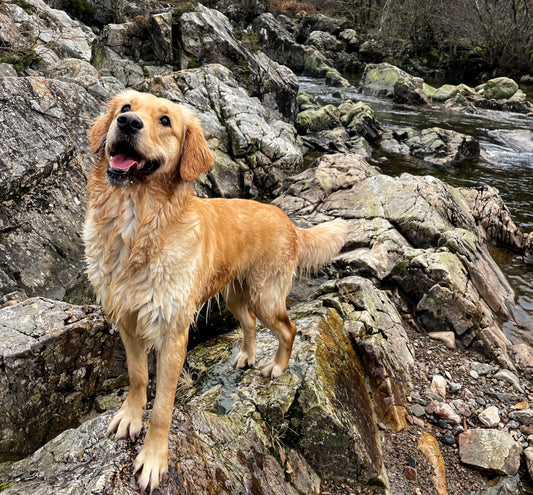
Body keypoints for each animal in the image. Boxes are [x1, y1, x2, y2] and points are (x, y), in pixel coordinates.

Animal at [84, 90, 344, 492]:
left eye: (165, 121)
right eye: (126, 108)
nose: (127, 124)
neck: (136, 225)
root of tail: (288, 221)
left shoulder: (173, 333)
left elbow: (163, 406)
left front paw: (153, 459)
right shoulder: (127, 318)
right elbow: (138, 375)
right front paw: (130, 417)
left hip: (265, 296)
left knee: (289, 329)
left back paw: (277, 367)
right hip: (235, 295)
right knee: (249, 324)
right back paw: (246, 357)